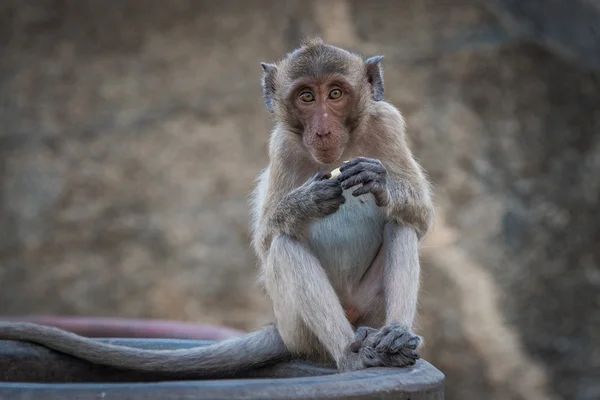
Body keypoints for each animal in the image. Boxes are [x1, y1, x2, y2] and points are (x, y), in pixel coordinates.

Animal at [0, 38, 434, 378]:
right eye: (307, 96)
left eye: (336, 94)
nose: (323, 129)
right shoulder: (281, 146)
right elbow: (267, 240)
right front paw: (305, 202)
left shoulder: (388, 123)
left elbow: (422, 217)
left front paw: (379, 182)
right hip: (298, 327)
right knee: (286, 246)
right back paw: (351, 355)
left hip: (367, 311)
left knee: (400, 224)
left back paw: (395, 336)